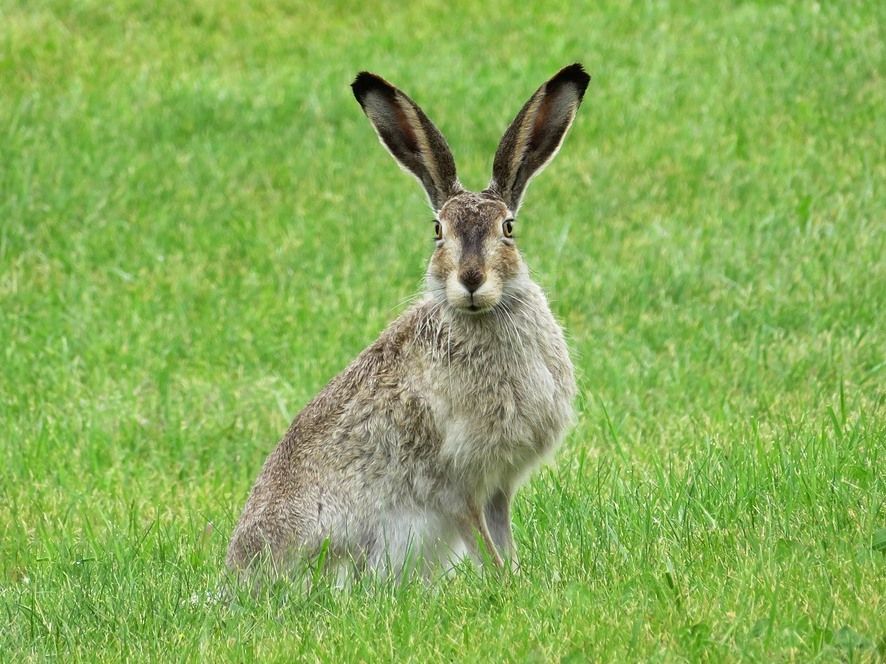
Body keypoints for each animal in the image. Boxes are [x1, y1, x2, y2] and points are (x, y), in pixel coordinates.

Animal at [227, 63, 588, 580]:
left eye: (508, 229)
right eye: (439, 231)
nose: (471, 280)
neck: (481, 315)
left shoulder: (498, 485)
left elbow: (502, 535)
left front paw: (519, 577)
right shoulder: (456, 484)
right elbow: (482, 540)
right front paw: (504, 581)